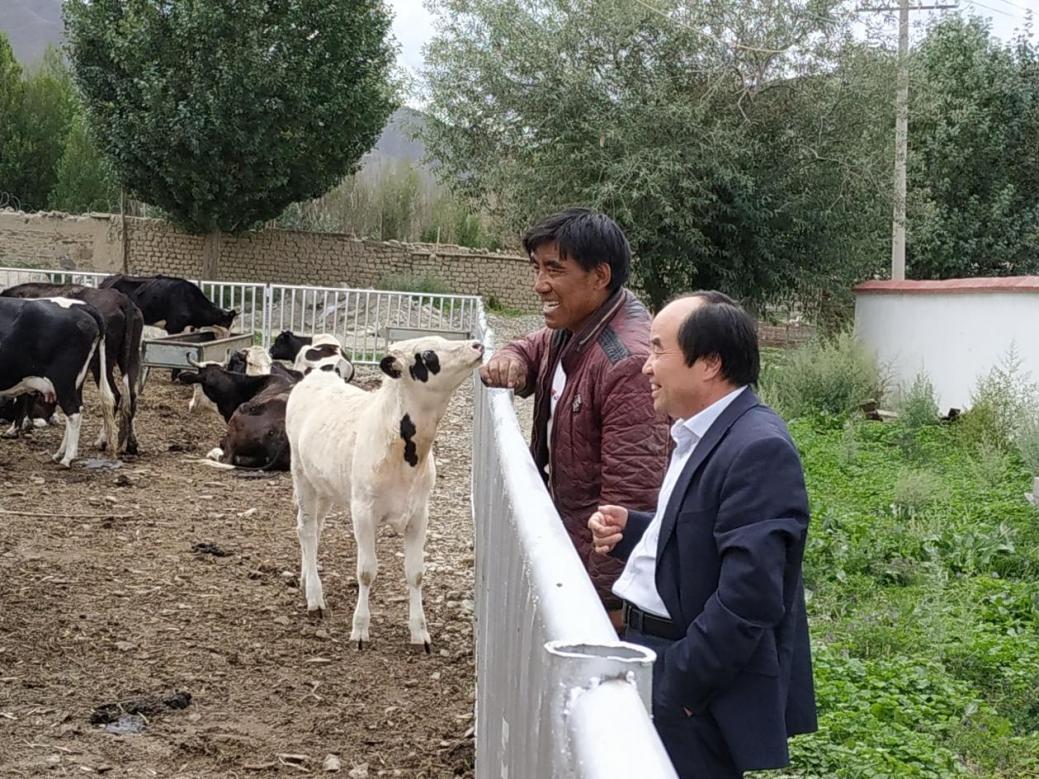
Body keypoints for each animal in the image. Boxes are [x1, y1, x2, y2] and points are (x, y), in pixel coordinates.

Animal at [2, 283, 143, 454]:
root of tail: (121, 298)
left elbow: (24, 395)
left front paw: (16, 428)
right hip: (131, 356)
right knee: (131, 397)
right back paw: (131, 444)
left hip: (100, 361)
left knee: (113, 395)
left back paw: (101, 441)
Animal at [286, 336, 485, 650]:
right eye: (428, 354)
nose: (477, 345)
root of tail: (317, 376)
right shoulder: (363, 512)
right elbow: (366, 571)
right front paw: (360, 629)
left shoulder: (419, 513)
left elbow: (416, 573)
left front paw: (419, 632)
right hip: (301, 474)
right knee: (306, 529)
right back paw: (315, 598)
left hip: (324, 485)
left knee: (313, 530)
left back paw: (308, 578)